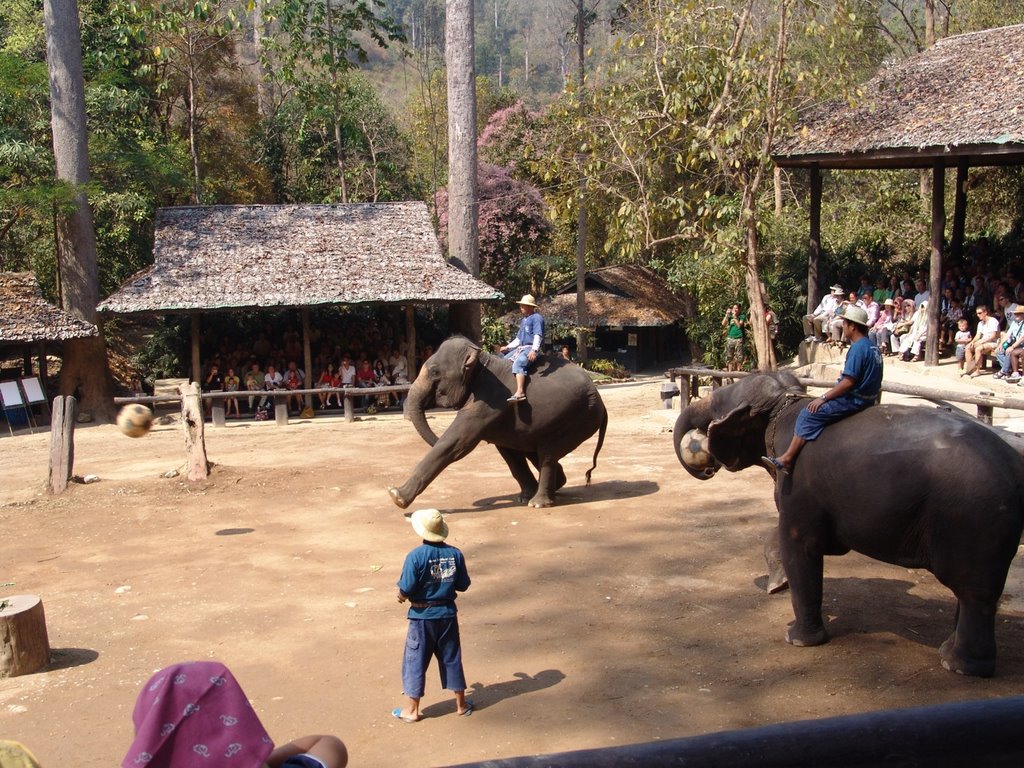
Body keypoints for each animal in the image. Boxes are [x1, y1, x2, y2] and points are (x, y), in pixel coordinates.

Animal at [387, 335, 602, 512]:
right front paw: (522, 497)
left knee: (547, 452)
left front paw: (396, 496)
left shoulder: (489, 400)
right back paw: (552, 486)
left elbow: (457, 443)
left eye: (434, 372)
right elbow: (507, 452)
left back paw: (538, 502)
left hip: (578, 417)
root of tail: (599, 400)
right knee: (533, 449)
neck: (480, 359)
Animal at [671, 372, 1024, 679]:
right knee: (977, 594)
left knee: (974, 593)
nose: (706, 468)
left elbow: (799, 542)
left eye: (717, 406)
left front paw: (797, 639)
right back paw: (948, 651)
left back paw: (959, 665)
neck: (788, 400)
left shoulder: (797, 482)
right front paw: (776, 585)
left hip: (973, 520)